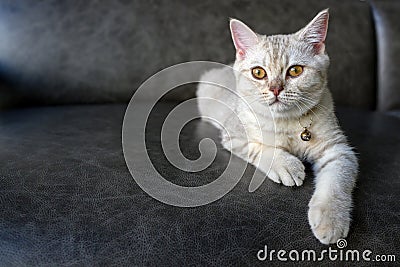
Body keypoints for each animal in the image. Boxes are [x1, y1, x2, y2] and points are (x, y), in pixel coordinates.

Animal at [198, 9, 358, 245]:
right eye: (258, 73)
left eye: (295, 70)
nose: (275, 89)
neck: (288, 122)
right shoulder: (234, 136)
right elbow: (260, 147)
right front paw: (287, 165)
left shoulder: (338, 150)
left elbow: (336, 182)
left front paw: (331, 220)